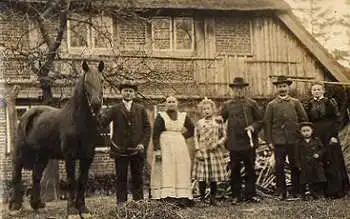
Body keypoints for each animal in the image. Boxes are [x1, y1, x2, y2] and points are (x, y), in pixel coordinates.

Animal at [8, 60, 104, 216]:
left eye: (101, 80)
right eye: (87, 82)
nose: (96, 104)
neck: (78, 121)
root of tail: (27, 115)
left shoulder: (88, 156)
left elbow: (82, 181)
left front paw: (83, 208)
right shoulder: (70, 156)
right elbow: (71, 180)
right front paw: (72, 210)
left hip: (42, 156)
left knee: (36, 176)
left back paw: (37, 204)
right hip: (20, 152)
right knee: (16, 173)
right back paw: (15, 206)